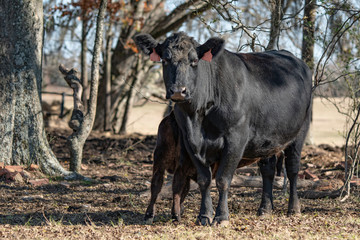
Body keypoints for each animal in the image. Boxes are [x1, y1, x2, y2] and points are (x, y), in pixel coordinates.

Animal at [135, 32, 312, 227]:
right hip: (267, 139)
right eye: (165, 60)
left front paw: (221, 217)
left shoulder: (235, 140)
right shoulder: (190, 142)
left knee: (293, 168)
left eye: (194, 61)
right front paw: (204, 216)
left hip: (300, 132)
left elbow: (223, 180)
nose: (178, 91)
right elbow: (204, 180)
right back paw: (265, 209)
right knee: (268, 170)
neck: (197, 117)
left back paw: (293, 208)